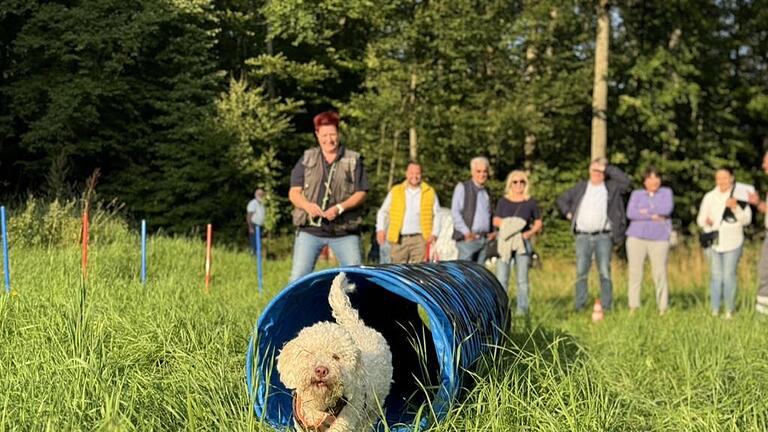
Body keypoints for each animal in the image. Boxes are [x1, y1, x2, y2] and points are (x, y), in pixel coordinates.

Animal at [278, 274, 392, 432]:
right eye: (309, 354)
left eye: (336, 357)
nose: (321, 370)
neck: (319, 407)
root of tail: (358, 326)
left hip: (375, 404)